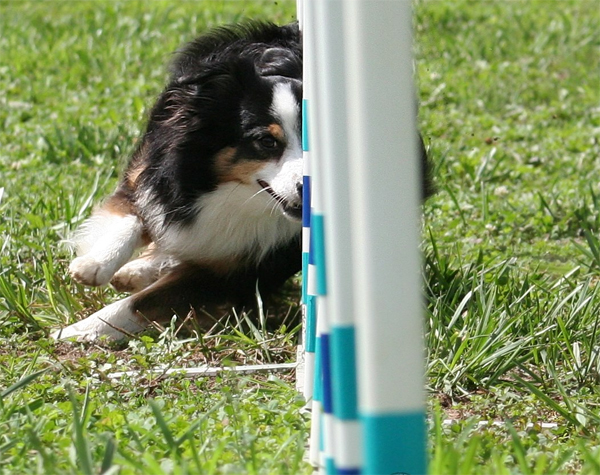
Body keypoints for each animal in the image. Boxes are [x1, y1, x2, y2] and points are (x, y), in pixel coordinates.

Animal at [50, 20, 432, 342]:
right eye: (265, 141)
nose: (307, 188)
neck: (232, 193)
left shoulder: (243, 271)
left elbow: (147, 301)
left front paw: (81, 329)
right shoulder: (154, 172)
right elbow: (130, 216)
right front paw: (94, 265)